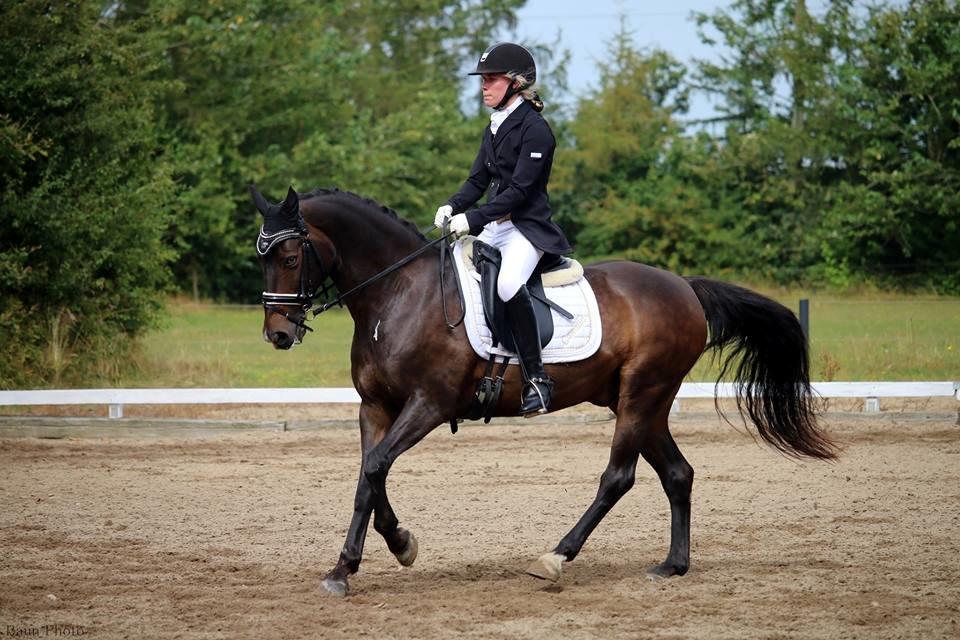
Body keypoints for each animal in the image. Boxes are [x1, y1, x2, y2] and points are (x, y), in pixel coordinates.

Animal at [251, 185, 836, 597]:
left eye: (289, 258)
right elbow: (368, 478)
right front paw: (368, 557)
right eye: (262, 259)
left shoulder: (428, 406)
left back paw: (555, 558)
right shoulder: (376, 408)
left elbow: (375, 469)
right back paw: (672, 565)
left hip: (642, 396)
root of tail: (685, 288)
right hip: (640, 403)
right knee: (677, 473)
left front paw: (375, 556)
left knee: (618, 477)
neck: (397, 293)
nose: (277, 335)